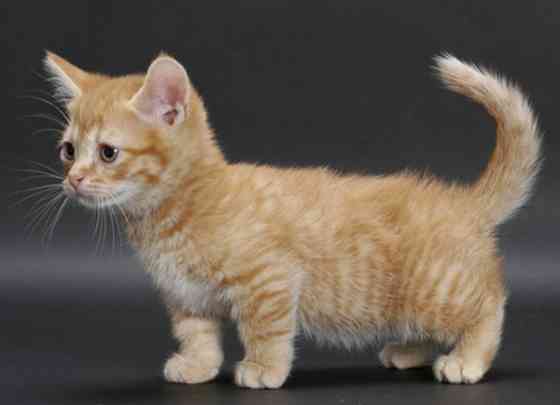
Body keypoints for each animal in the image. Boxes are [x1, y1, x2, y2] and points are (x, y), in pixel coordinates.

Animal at [43, 52, 544, 386]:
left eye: (108, 153)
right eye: (67, 150)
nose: (74, 179)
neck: (175, 213)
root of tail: (462, 200)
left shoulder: (268, 279)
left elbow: (265, 329)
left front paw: (263, 369)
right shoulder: (186, 296)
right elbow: (197, 333)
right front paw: (198, 366)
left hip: (434, 289)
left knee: (488, 306)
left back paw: (467, 360)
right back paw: (409, 351)